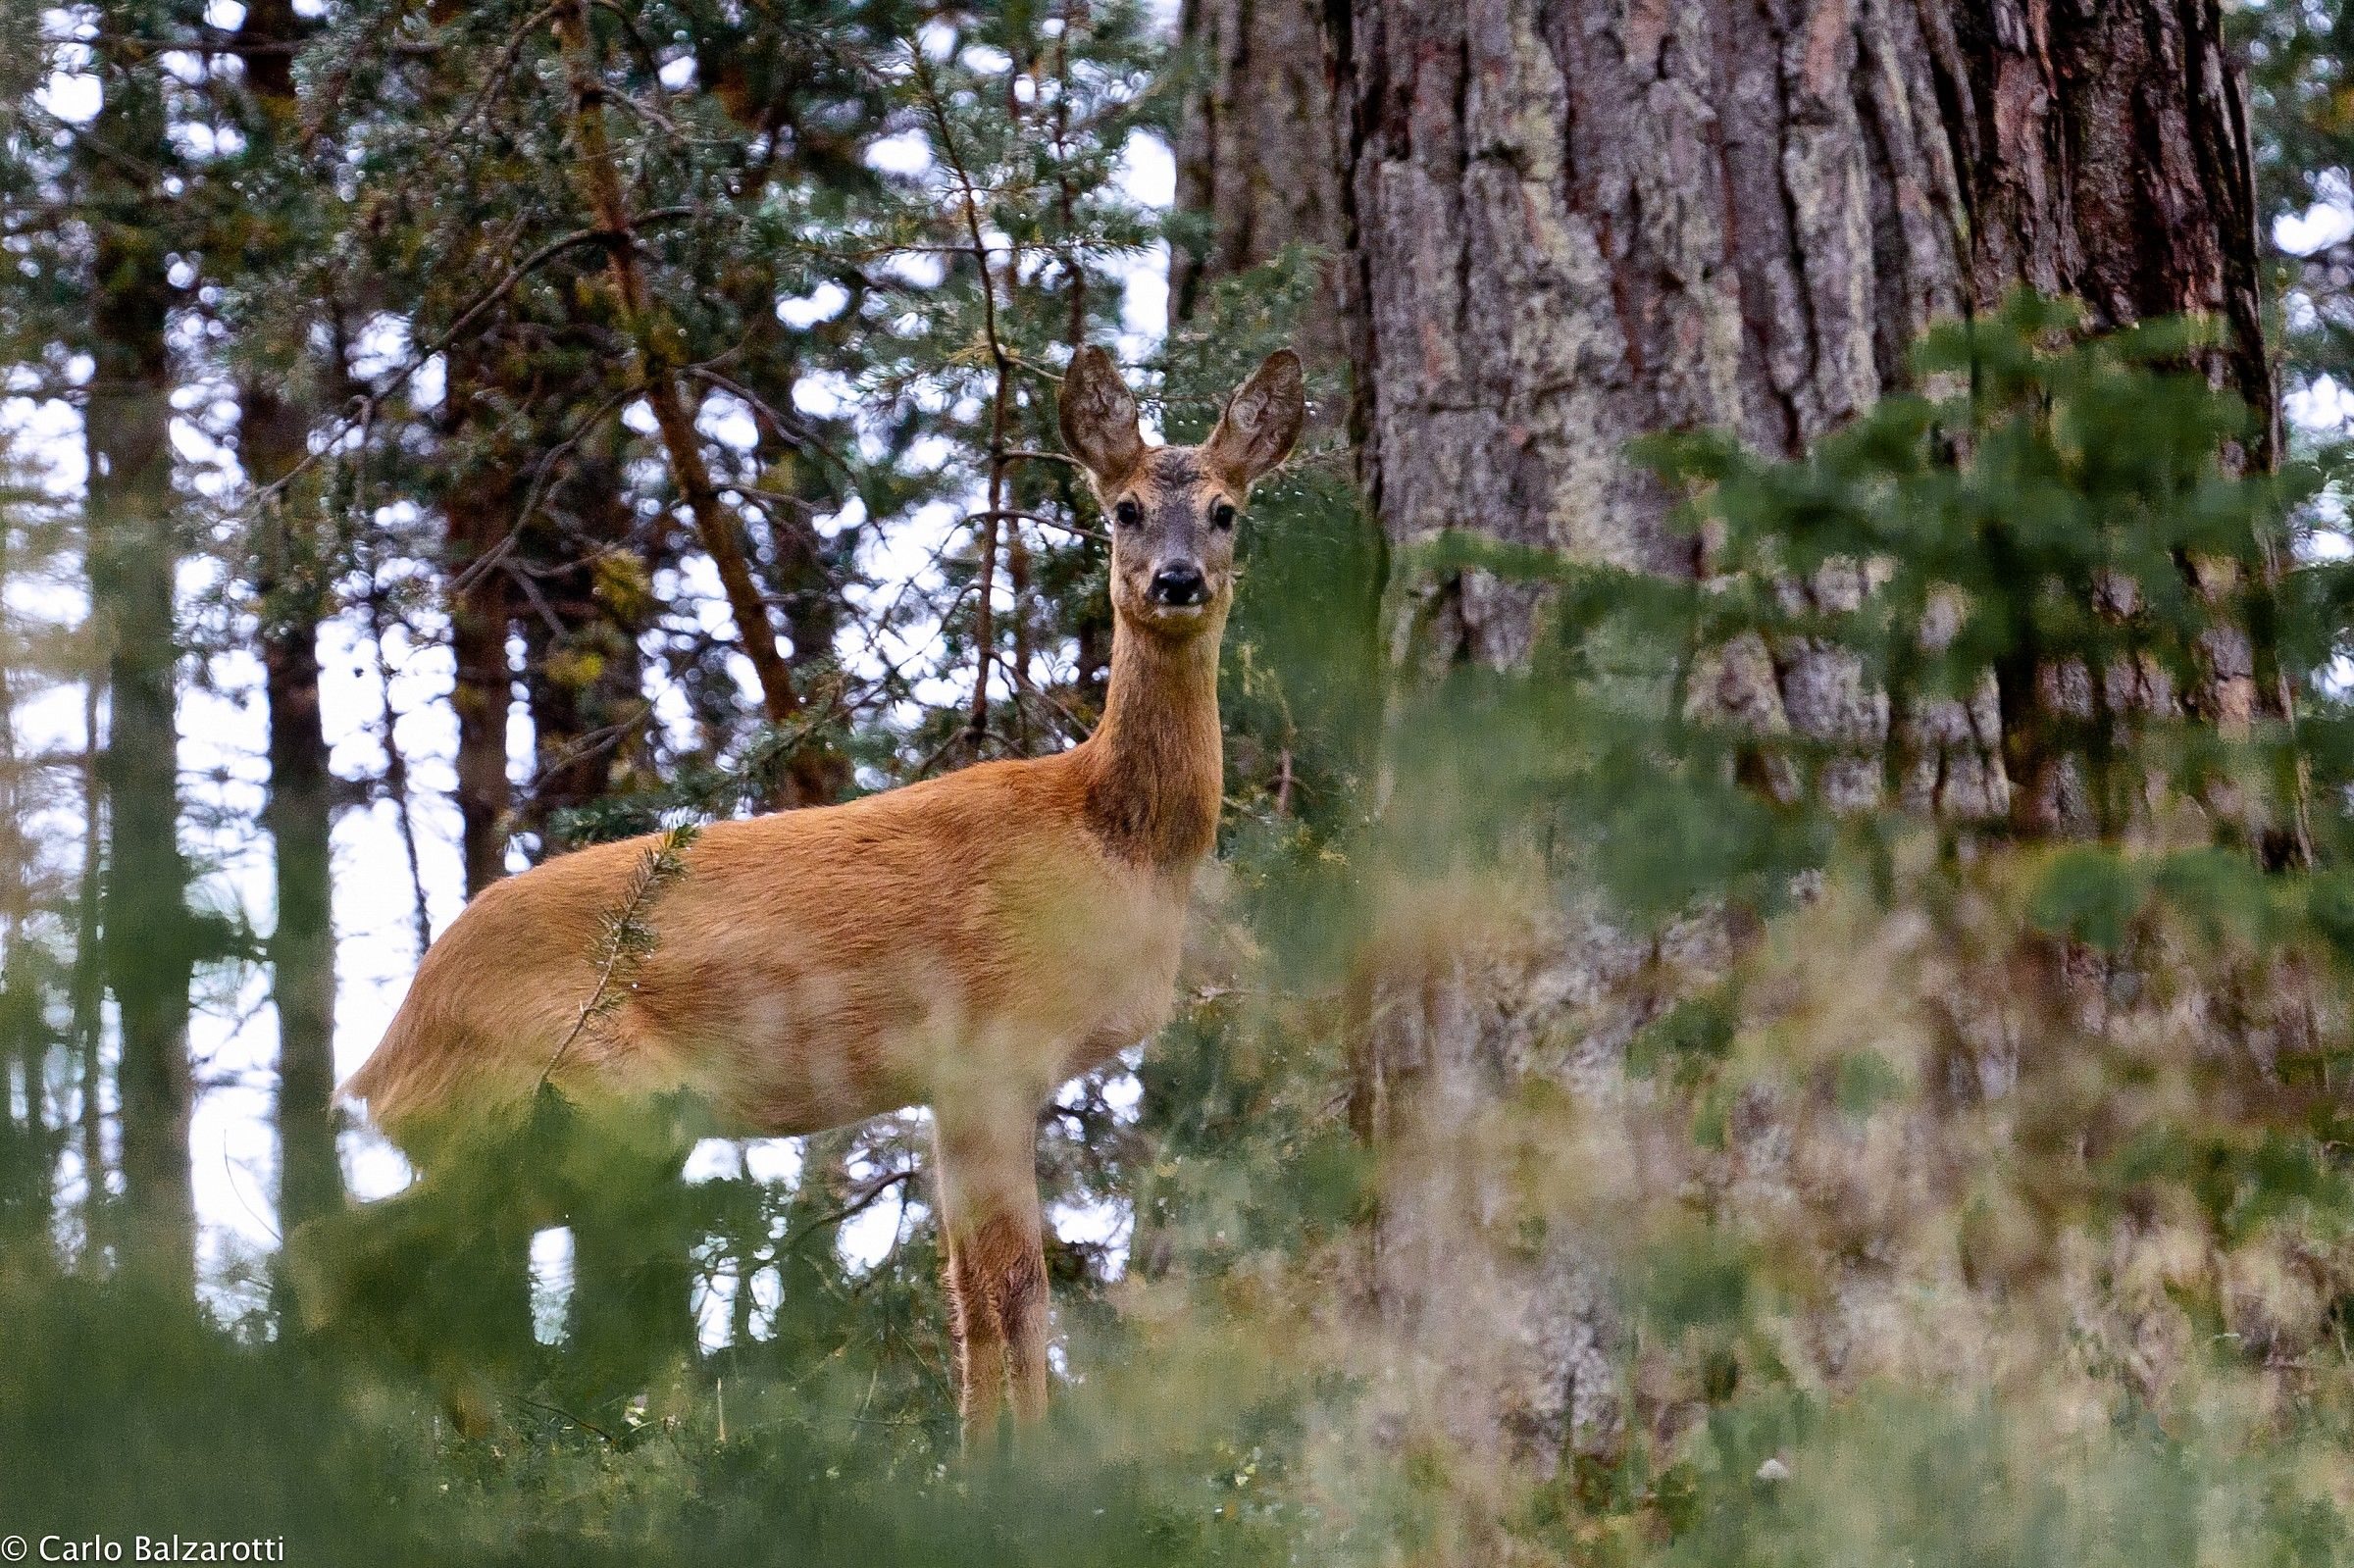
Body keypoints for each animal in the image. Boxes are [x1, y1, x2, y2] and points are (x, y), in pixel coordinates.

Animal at [327, 346, 1304, 1436]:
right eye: (1125, 507)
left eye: (1226, 511)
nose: (1176, 580)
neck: (1109, 837)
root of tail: (387, 1053)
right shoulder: (989, 1050)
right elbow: (1014, 1286)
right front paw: (1024, 1459)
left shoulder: (956, 1084)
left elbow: (969, 1290)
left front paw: (980, 1453)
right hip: (578, 1107)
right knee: (367, 1258)